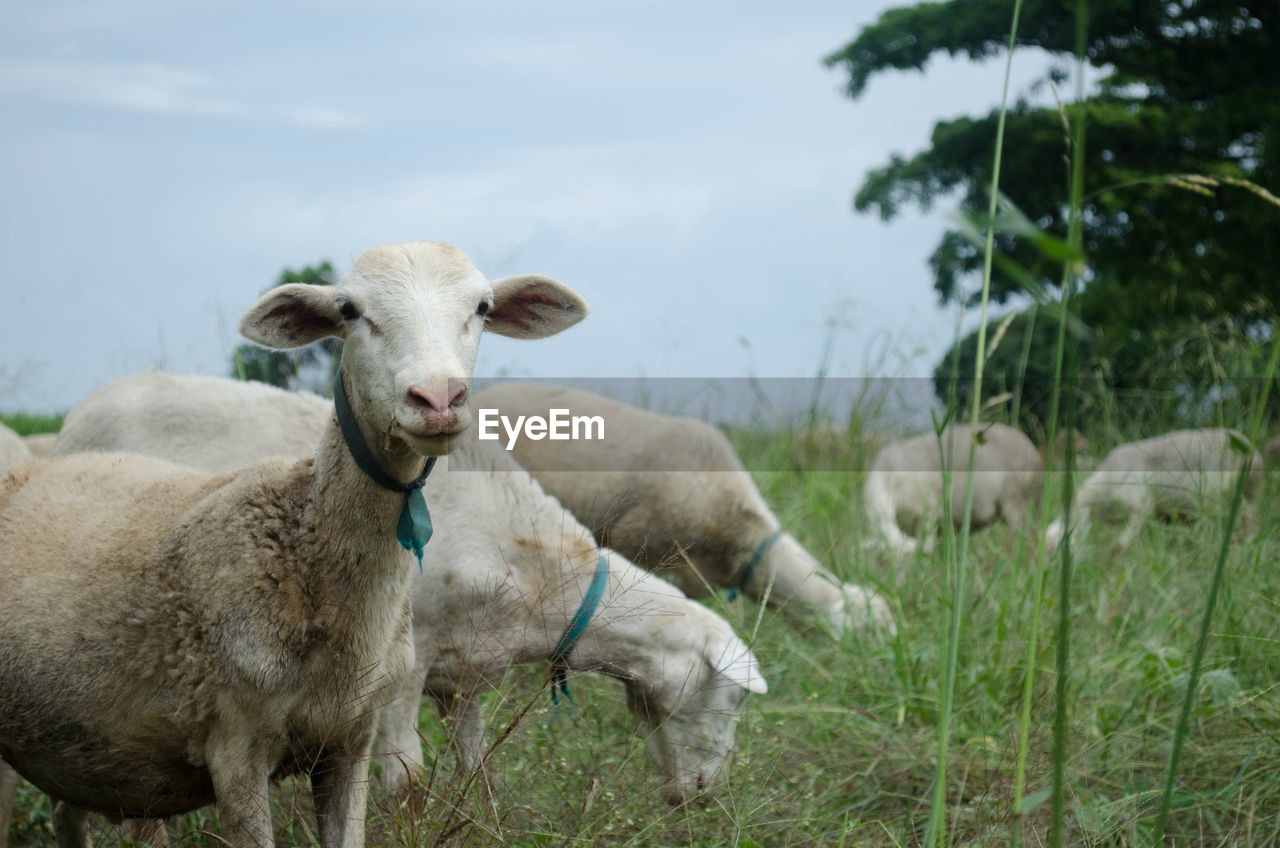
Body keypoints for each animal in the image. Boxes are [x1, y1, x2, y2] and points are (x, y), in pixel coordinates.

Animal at [0, 240, 586, 848]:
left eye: (483, 307)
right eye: (349, 309)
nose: (438, 398)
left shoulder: (350, 742)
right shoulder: (235, 751)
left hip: (78, 751)